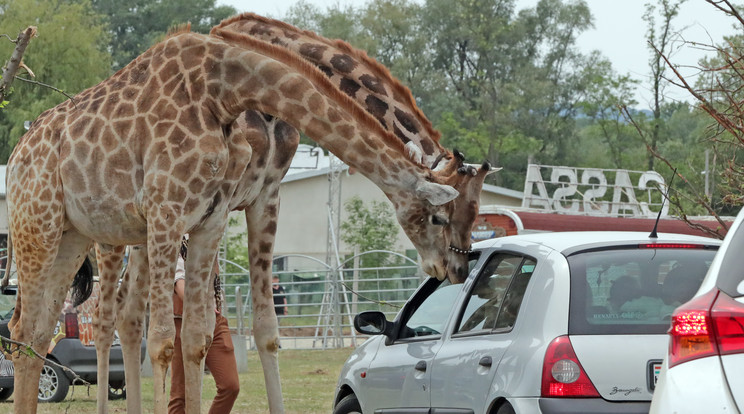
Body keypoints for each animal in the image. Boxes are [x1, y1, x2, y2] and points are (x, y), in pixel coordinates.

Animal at [5, 29, 470, 414]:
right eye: (439, 216)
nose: (456, 269)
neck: (223, 91)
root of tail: (17, 153)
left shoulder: (209, 218)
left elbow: (197, 338)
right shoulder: (167, 213)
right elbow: (163, 342)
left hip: (71, 235)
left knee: (44, 329)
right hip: (42, 226)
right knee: (33, 327)